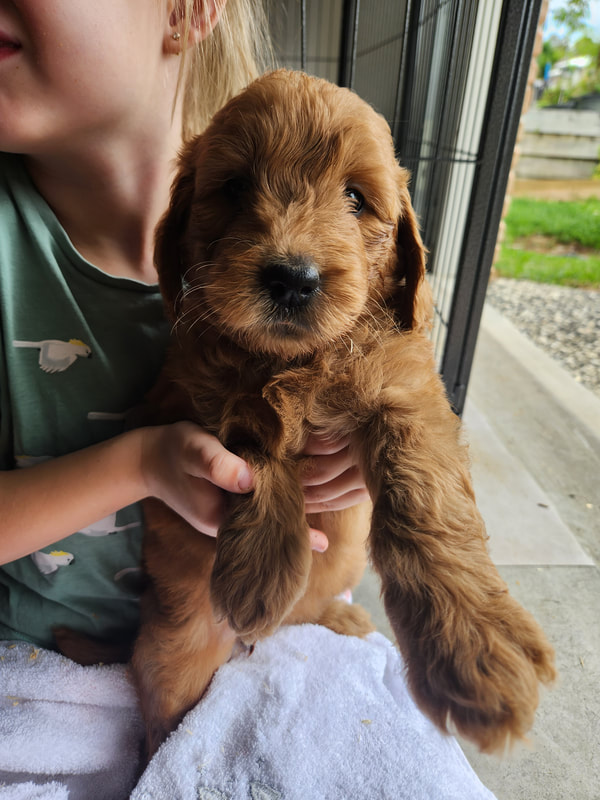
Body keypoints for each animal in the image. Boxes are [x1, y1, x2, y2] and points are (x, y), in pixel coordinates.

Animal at [65, 69, 556, 757]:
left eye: (355, 198)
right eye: (234, 187)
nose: (293, 279)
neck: (298, 362)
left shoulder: (408, 387)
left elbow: (424, 491)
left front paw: (475, 644)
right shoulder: (189, 392)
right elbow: (254, 438)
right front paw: (262, 565)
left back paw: (344, 615)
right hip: (179, 643)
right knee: (167, 709)